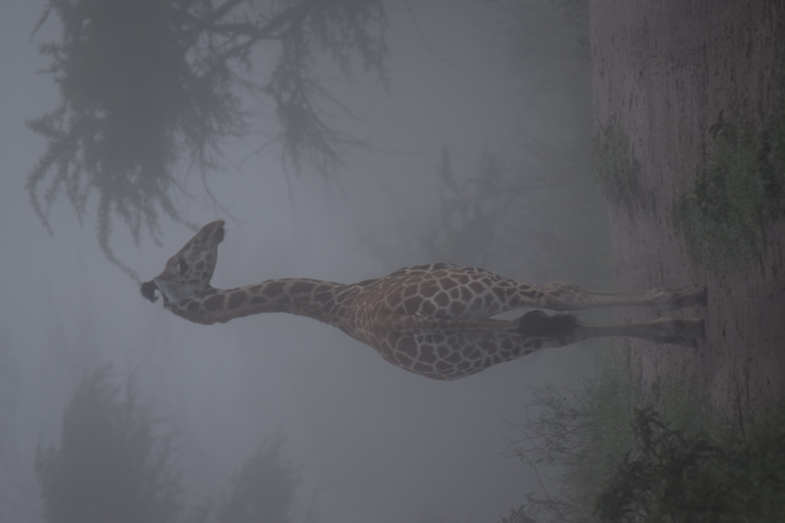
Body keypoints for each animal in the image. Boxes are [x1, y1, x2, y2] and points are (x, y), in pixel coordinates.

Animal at [140, 220, 706, 381]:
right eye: (183, 264)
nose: (217, 225)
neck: (339, 303)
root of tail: (406, 319)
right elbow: (566, 303)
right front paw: (682, 302)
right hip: (485, 299)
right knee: (560, 303)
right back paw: (685, 309)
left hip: (484, 344)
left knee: (552, 325)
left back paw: (681, 320)